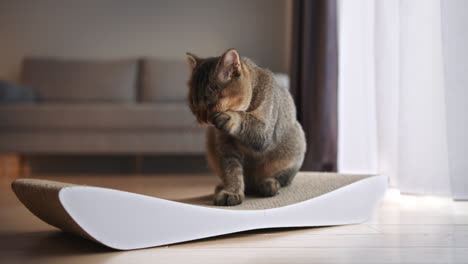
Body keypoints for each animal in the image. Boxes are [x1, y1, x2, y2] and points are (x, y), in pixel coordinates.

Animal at [186, 49, 308, 206]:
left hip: (296, 140)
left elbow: (246, 120)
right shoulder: (225, 148)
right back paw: (222, 186)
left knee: (282, 178)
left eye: (211, 101)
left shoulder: (265, 131)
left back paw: (269, 184)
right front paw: (232, 192)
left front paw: (231, 117)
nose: (202, 118)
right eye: (193, 103)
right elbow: (232, 173)